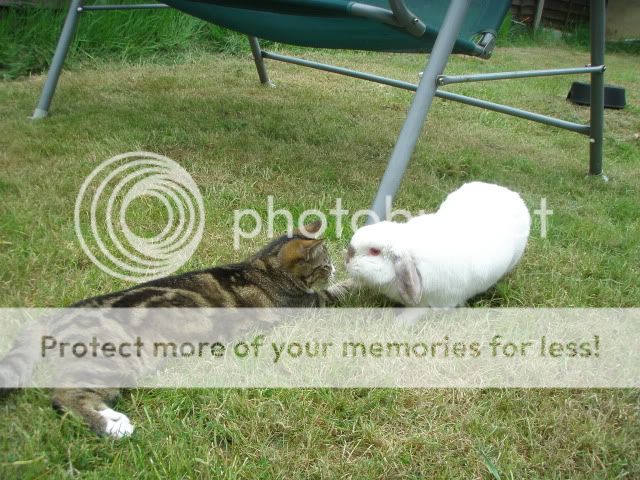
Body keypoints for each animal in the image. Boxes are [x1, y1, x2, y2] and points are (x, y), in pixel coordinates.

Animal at [1, 221, 350, 438]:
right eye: (325, 264)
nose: (334, 268)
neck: (264, 265)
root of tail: (60, 313)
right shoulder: (311, 303)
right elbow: (343, 293)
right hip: (109, 359)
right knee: (65, 397)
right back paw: (112, 428)